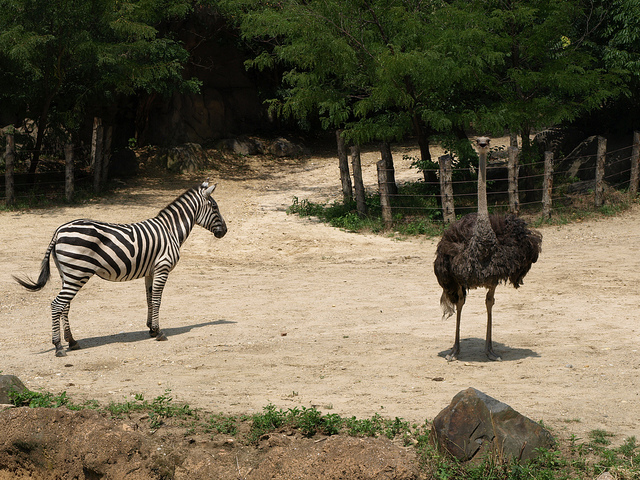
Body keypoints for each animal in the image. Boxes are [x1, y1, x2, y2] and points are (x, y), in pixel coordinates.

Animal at [12, 180, 229, 356]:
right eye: (215, 207)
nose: (225, 232)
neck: (170, 230)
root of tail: (58, 231)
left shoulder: (150, 271)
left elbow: (149, 299)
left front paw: (151, 329)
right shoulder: (162, 267)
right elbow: (157, 300)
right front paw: (159, 332)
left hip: (67, 274)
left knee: (65, 305)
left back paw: (72, 342)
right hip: (77, 273)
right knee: (57, 305)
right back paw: (58, 347)